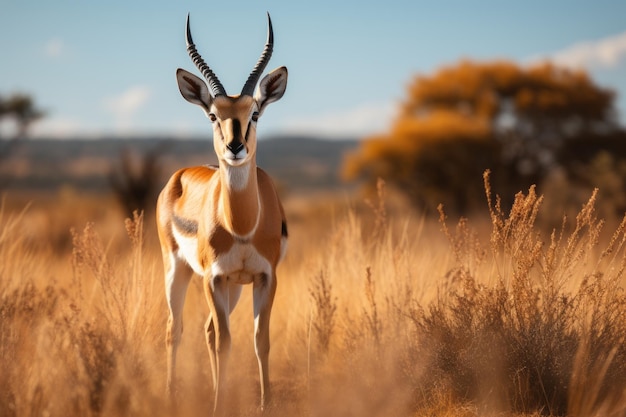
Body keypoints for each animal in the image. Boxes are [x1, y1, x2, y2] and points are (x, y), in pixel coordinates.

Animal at [157, 13, 288, 412]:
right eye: (213, 115)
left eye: (254, 113)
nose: (235, 146)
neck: (242, 225)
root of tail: (181, 175)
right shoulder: (212, 278)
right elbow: (226, 343)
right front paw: (218, 405)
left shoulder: (264, 277)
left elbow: (261, 340)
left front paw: (264, 403)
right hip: (179, 270)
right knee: (177, 329)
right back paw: (171, 395)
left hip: (232, 287)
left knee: (208, 330)